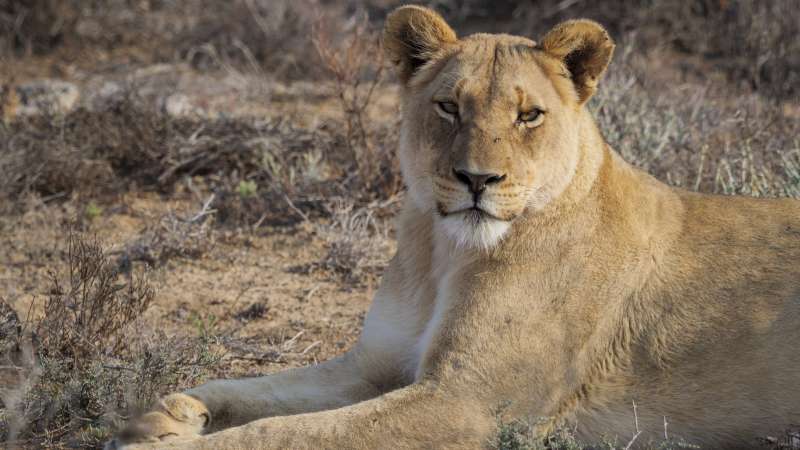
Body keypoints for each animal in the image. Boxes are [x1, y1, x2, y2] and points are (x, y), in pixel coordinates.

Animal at [107, 6, 800, 449]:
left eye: (528, 115)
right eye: (448, 106)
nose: (477, 179)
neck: (443, 252)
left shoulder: (468, 401)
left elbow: (288, 435)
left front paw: (162, 442)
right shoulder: (372, 364)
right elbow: (259, 391)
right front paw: (169, 412)